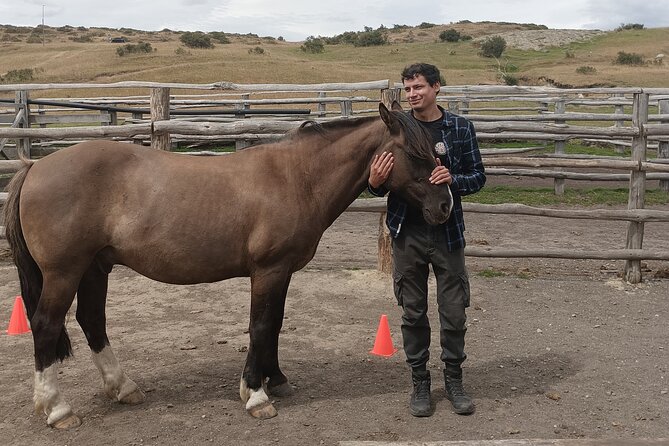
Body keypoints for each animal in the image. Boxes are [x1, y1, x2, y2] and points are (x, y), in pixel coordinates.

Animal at [3, 102, 453, 428]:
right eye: (415, 153)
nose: (445, 206)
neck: (298, 177)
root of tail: (35, 166)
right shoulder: (268, 270)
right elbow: (259, 326)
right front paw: (256, 396)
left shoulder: (282, 272)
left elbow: (274, 325)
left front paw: (275, 380)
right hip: (65, 272)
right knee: (46, 325)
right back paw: (58, 409)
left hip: (95, 268)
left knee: (92, 321)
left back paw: (123, 388)